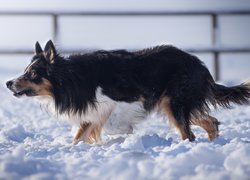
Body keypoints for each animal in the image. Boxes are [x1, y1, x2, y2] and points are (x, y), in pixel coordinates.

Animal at [5, 40, 250, 143]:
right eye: (26, 70)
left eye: (32, 73)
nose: (8, 83)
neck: (72, 78)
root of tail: (201, 66)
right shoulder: (91, 110)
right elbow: (79, 135)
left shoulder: (128, 98)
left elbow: (111, 122)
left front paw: (122, 131)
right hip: (174, 105)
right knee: (211, 122)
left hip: (175, 103)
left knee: (188, 133)